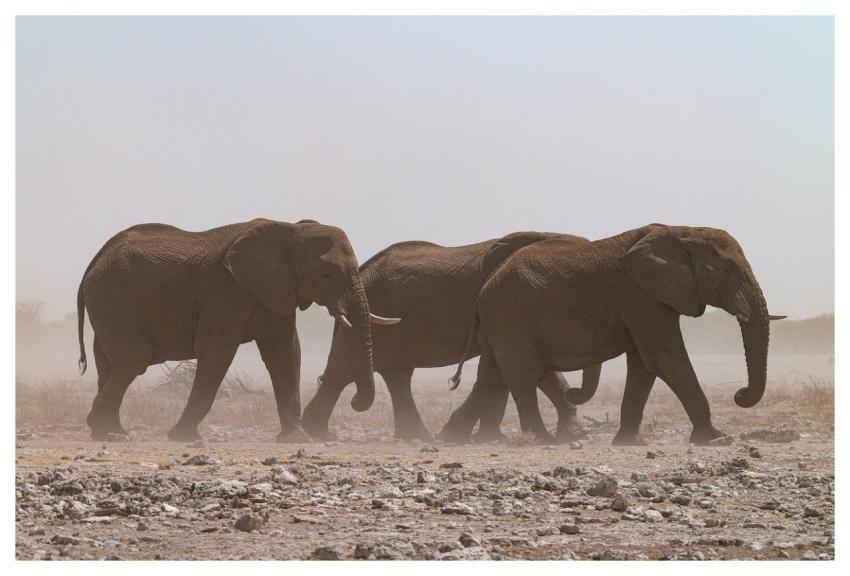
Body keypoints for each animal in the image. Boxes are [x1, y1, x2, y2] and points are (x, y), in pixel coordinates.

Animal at [76, 218, 398, 441]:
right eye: (326, 275)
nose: (356, 402)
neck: (291, 230)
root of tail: (94, 262)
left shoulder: (278, 290)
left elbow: (286, 354)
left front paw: (296, 439)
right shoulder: (226, 291)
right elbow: (217, 352)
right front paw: (185, 438)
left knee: (111, 364)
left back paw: (110, 432)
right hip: (114, 300)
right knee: (134, 359)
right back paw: (105, 429)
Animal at [301, 232, 602, 443]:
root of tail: (362, 269)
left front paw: (490, 438)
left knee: (394, 375)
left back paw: (414, 436)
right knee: (345, 371)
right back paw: (318, 432)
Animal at [441, 224, 785, 446]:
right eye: (726, 270)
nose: (740, 394)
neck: (682, 229)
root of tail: (483, 291)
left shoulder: (644, 299)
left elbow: (644, 366)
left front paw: (627, 442)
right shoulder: (640, 296)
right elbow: (665, 359)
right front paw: (717, 439)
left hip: (501, 321)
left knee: (493, 377)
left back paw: (451, 437)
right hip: (510, 316)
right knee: (522, 375)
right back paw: (540, 439)